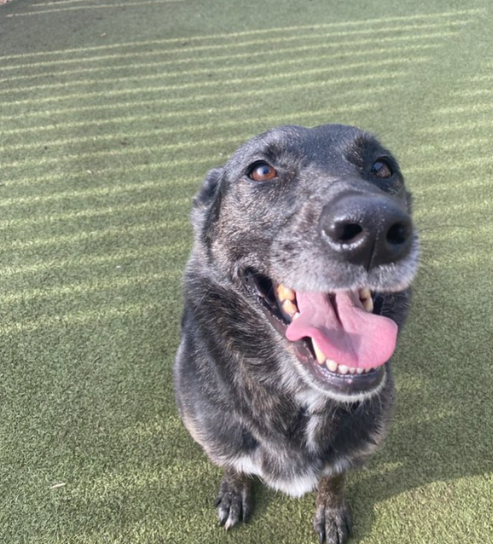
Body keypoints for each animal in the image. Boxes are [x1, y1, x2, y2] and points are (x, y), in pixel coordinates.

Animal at [173, 124, 418, 544]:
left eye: (382, 167)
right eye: (261, 171)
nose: (375, 228)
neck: (298, 394)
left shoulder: (357, 445)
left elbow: (334, 476)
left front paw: (330, 511)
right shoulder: (215, 435)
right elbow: (233, 464)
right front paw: (234, 491)